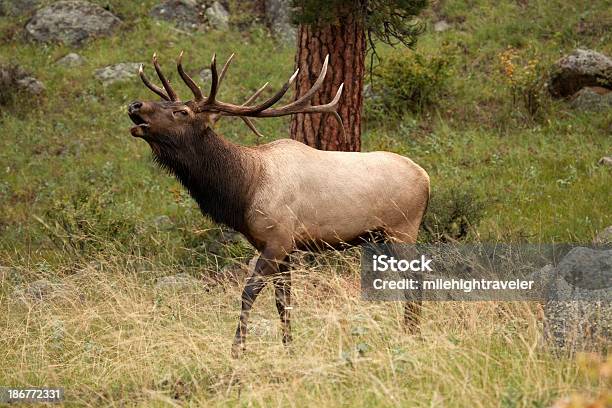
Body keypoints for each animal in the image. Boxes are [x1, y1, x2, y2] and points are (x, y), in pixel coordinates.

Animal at [128, 51, 430, 356]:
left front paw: (238, 349)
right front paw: (288, 348)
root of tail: (427, 179)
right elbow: (283, 300)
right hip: (382, 236)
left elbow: (248, 292)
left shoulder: (278, 239)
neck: (245, 190)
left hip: (402, 228)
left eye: (182, 111)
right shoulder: (283, 247)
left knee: (415, 278)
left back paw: (412, 334)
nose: (135, 104)